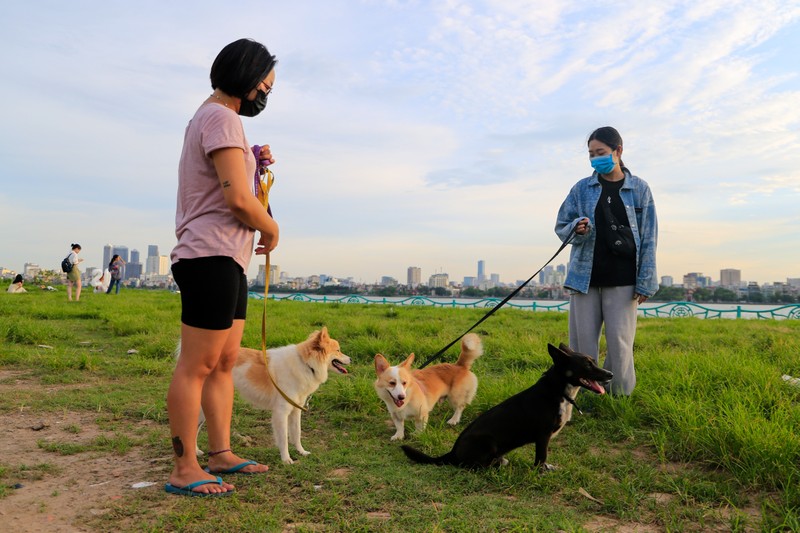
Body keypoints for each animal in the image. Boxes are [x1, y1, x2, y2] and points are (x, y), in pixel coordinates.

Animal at [400, 342, 612, 468]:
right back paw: (496, 465)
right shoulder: (543, 435)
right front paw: (541, 473)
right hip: (488, 442)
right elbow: (541, 457)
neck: (558, 390)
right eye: (587, 365)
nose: (610, 374)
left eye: (593, 361)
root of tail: (451, 453)